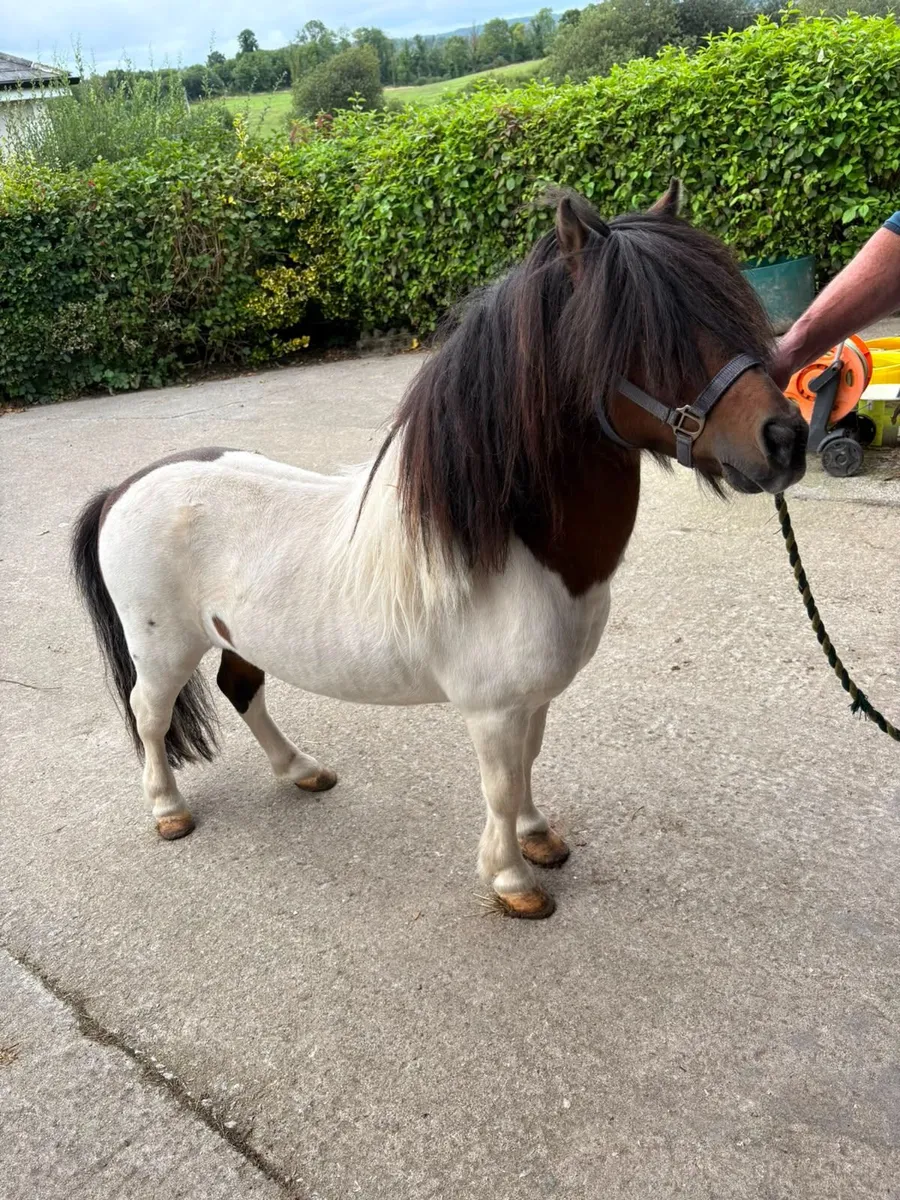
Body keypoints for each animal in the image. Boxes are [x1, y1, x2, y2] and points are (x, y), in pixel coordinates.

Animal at [71, 181, 808, 919]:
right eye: (649, 336)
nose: (786, 440)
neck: (521, 550)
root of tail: (123, 488)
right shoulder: (492, 709)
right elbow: (502, 784)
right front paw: (512, 881)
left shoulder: (531, 701)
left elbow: (529, 762)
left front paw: (538, 838)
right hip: (164, 651)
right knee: (150, 714)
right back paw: (168, 810)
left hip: (236, 637)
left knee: (239, 688)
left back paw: (301, 771)